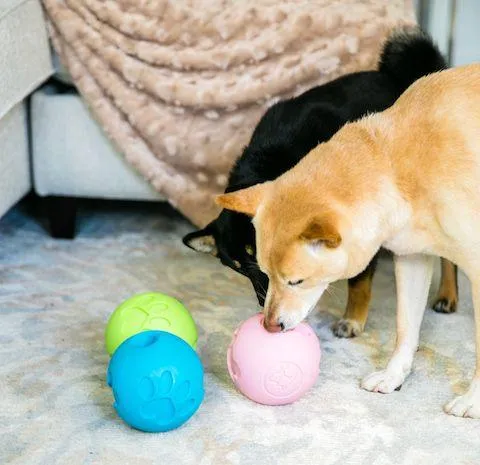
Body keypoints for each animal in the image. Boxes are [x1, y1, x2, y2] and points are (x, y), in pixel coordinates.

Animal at [184, 27, 458, 336]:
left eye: (258, 256)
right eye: (239, 267)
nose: (263, 303)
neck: (279, 163)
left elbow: (359, 281)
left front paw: (352, 320)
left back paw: (447, 295)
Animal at [217, 63, 480, 418]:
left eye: (297, 281)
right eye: (265, 274)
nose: (269, 326)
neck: (398, 165)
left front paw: (473, 400)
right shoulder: (411, 258)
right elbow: (405, 328)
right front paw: (393, 375)